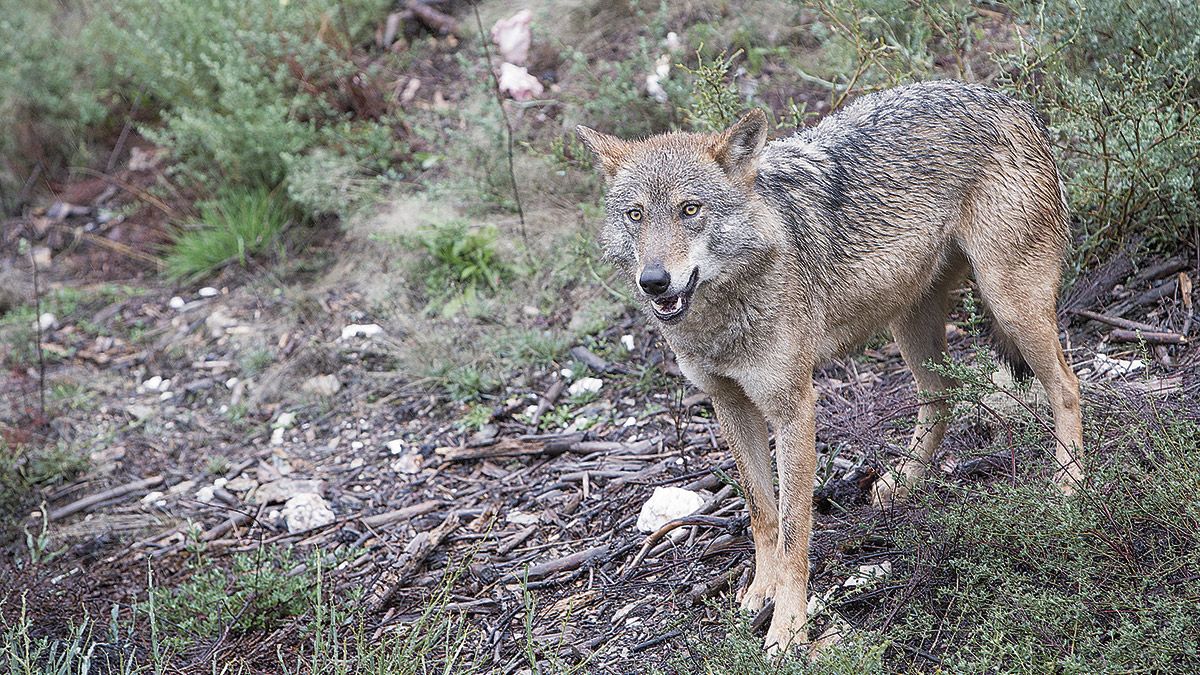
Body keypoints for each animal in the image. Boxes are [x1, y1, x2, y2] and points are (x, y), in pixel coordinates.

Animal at [580, 79, 1089, 653]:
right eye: (636, 215)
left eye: (690, 209)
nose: (654, 281)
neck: (725, 311)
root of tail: (1013, 100)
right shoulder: (730, 405)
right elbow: (762, 514)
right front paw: (760, 591)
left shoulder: (795, 409)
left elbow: (794, 530)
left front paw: (787, 629)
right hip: (911, 325)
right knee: (940, 396)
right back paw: (904, 483)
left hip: (1009, 306)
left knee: (1068, 386)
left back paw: (1068, 488)